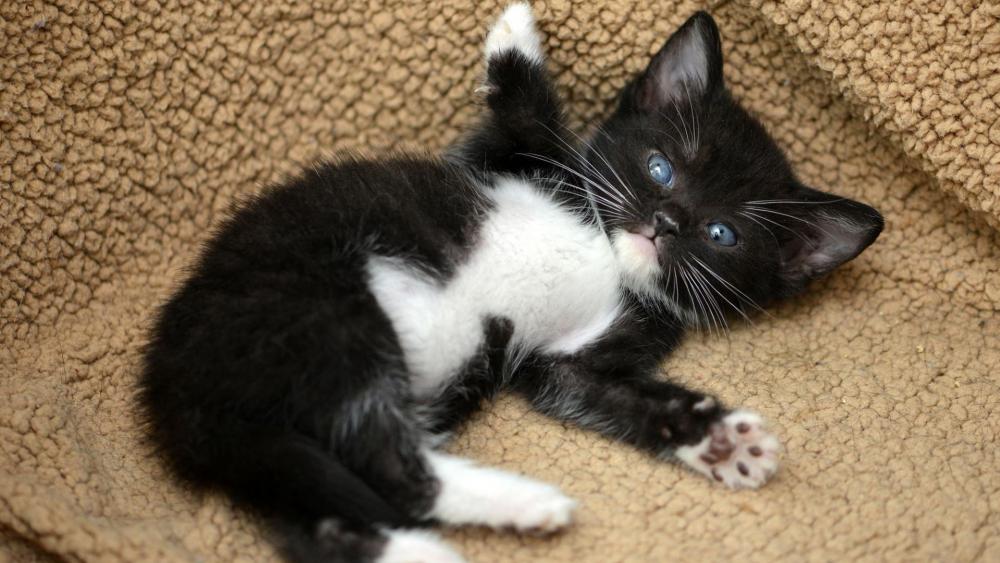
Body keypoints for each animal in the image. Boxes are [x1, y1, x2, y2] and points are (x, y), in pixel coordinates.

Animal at [139, 5, 884, 563]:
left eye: (723, 234)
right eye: (660, 166)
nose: (667, 223)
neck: (607, 253)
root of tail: (174, 397)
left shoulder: (568, 359)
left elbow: (608, 396)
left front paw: (718, 440)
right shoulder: (501, 164)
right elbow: (527, 121)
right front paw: (517, 34)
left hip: (306, 381)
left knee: (363, 489)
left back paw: (475, 525)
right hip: (319, 313)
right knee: (362, 478)